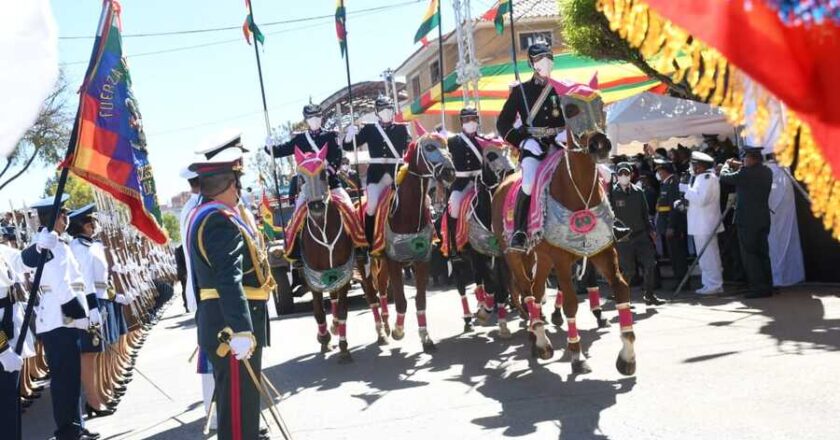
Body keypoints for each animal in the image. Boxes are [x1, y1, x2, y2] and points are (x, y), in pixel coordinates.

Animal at [288, 146, 388, 362]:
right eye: (301, 178)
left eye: (324, 174)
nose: (316, 206)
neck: (323, 230)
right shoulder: (312, 275)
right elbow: (318, 311)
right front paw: (324, 338)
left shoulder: (344, 271)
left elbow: (343, 309)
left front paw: (343, 347)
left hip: (362, 268)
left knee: (371, 296)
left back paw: (381, 333)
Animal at [370, 131, 456, 354]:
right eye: (429, 147)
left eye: (447, 146)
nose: (450, 172)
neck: (406, 214)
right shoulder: (394, 262)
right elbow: (401, 301)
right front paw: (398, 331)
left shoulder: (422, 260)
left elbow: (420, 300)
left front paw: (425, 337)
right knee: (372, 295)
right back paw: (381, 332)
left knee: (381, 288)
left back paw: (385, 323)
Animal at [446, 139, 520, 336]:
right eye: (491, 155)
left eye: (510, 151)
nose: (511, 171)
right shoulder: (478, 254)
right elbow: (490, 285)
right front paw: (485, 312)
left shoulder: (499, 256)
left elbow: (500, 288)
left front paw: (502, 324)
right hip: (459, 261)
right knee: (463, 286)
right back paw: (468, 318)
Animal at [488, 81, 632, 374]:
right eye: (570, 109)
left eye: (601, 104)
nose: (600, 144)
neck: (578, 190)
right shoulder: (562, 259)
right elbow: (571, 303)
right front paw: (576, 355)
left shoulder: (603, 250)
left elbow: (621, 289)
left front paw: (627, 355)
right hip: (515, 255)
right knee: (527, 291)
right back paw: (540, 340)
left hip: (541, 258)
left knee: (536, 290)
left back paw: (538, 335)